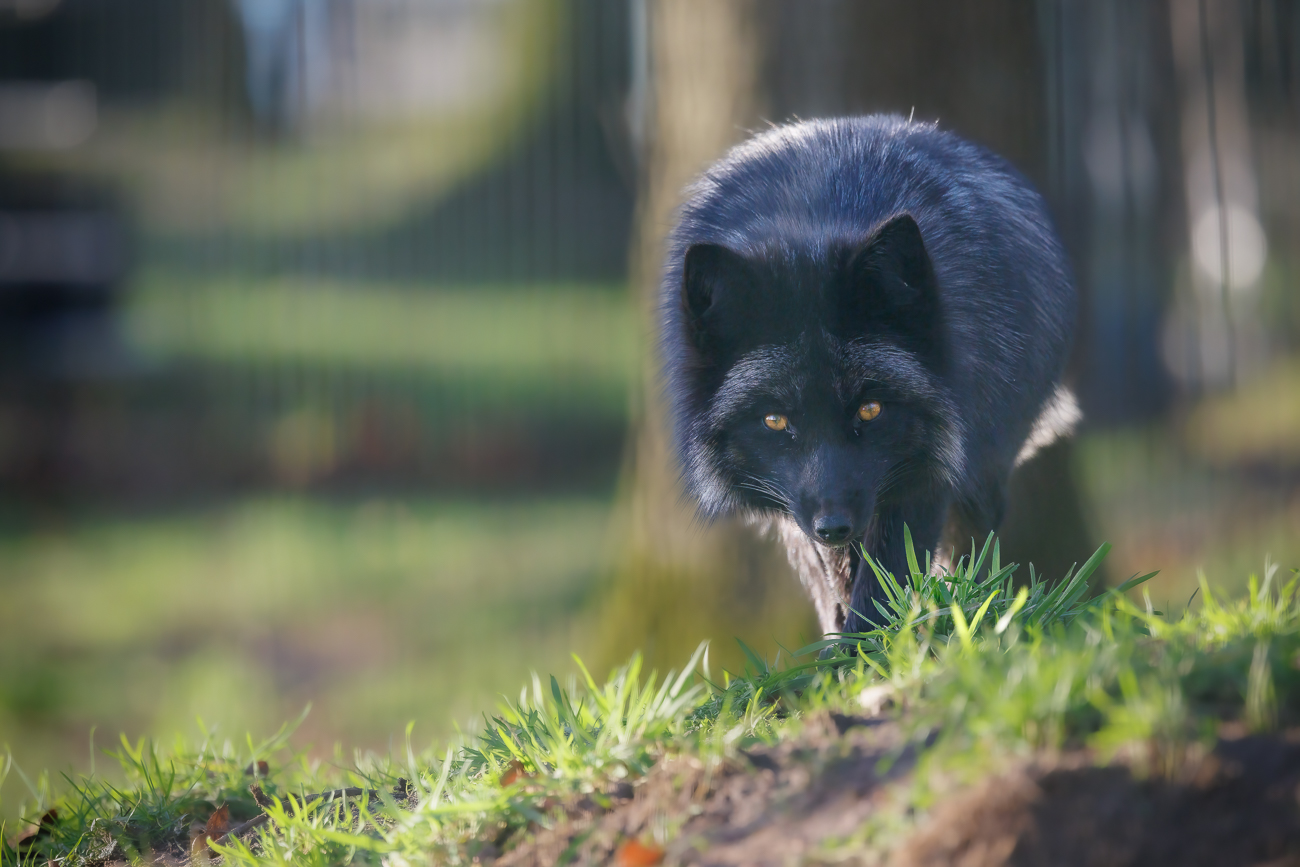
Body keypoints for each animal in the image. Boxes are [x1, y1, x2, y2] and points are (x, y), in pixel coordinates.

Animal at [660, 115, 1079, 637]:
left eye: (870, 409)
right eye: (775, 421)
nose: (835, 525)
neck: (816, 220)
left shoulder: (925, 470)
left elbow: (886, 578)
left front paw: (869, 646)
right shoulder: (802, 510)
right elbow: (840, 582)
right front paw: (844, 648)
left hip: (980, 476)